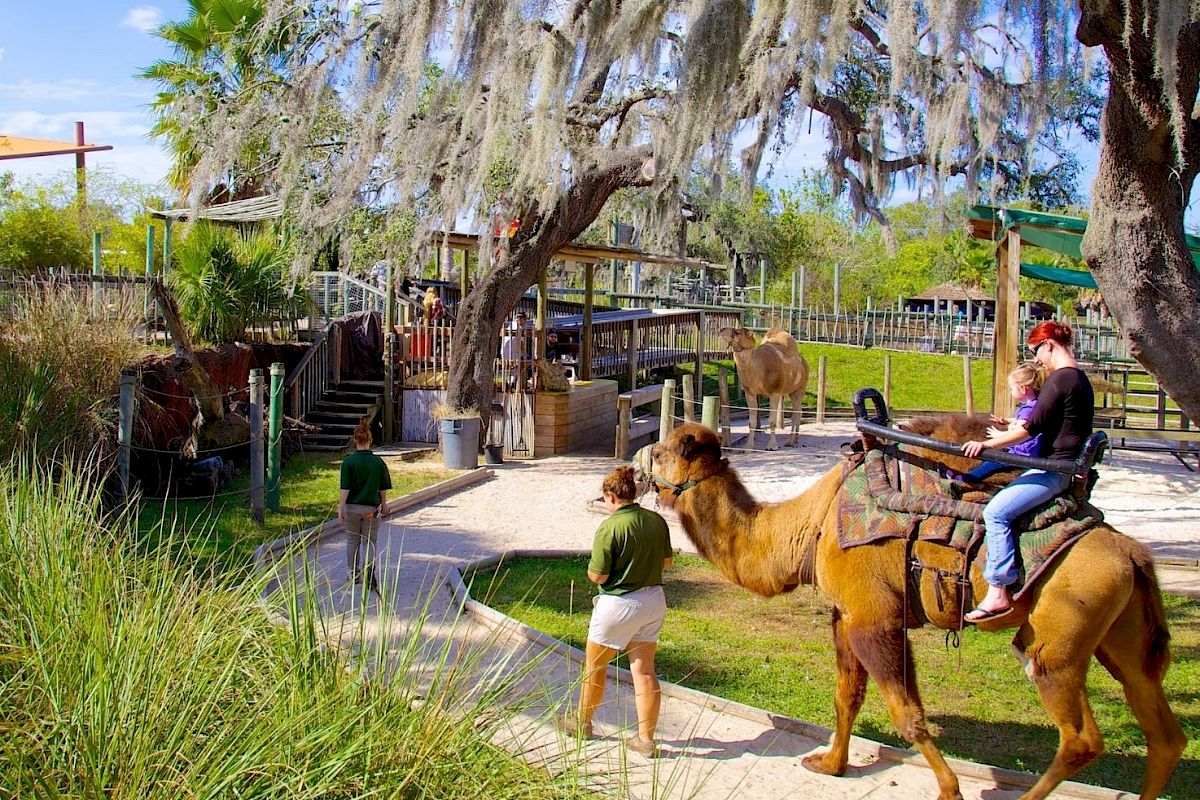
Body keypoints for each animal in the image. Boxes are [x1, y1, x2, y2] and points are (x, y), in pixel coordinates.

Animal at [647, 421, 1185, 800]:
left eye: (660, 452)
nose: (639, 460)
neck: (811, 525)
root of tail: (1134, 556)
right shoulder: (847, 615)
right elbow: (847, 695)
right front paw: (830, 764)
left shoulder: (875, 618)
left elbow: (907, 713)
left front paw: (949, 788)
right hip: (1119, 636)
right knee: (1162, 730)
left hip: (1058, 634)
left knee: (1081, 737)